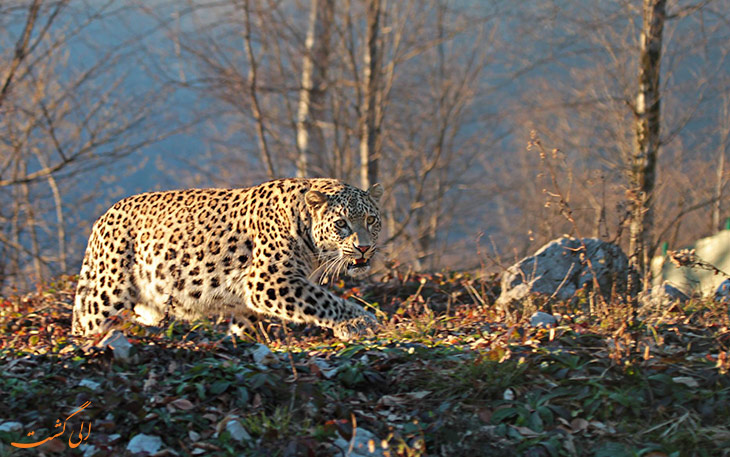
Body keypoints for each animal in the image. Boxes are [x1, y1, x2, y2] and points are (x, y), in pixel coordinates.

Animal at [71, 177, 384, 338]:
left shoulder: (253, 297)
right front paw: (361, 322)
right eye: (341, 224)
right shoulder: (268, 281)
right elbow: (324, 301)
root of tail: (103, 217)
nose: (364, 248)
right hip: (105, 293)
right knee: (86, 323)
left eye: (371, 220)